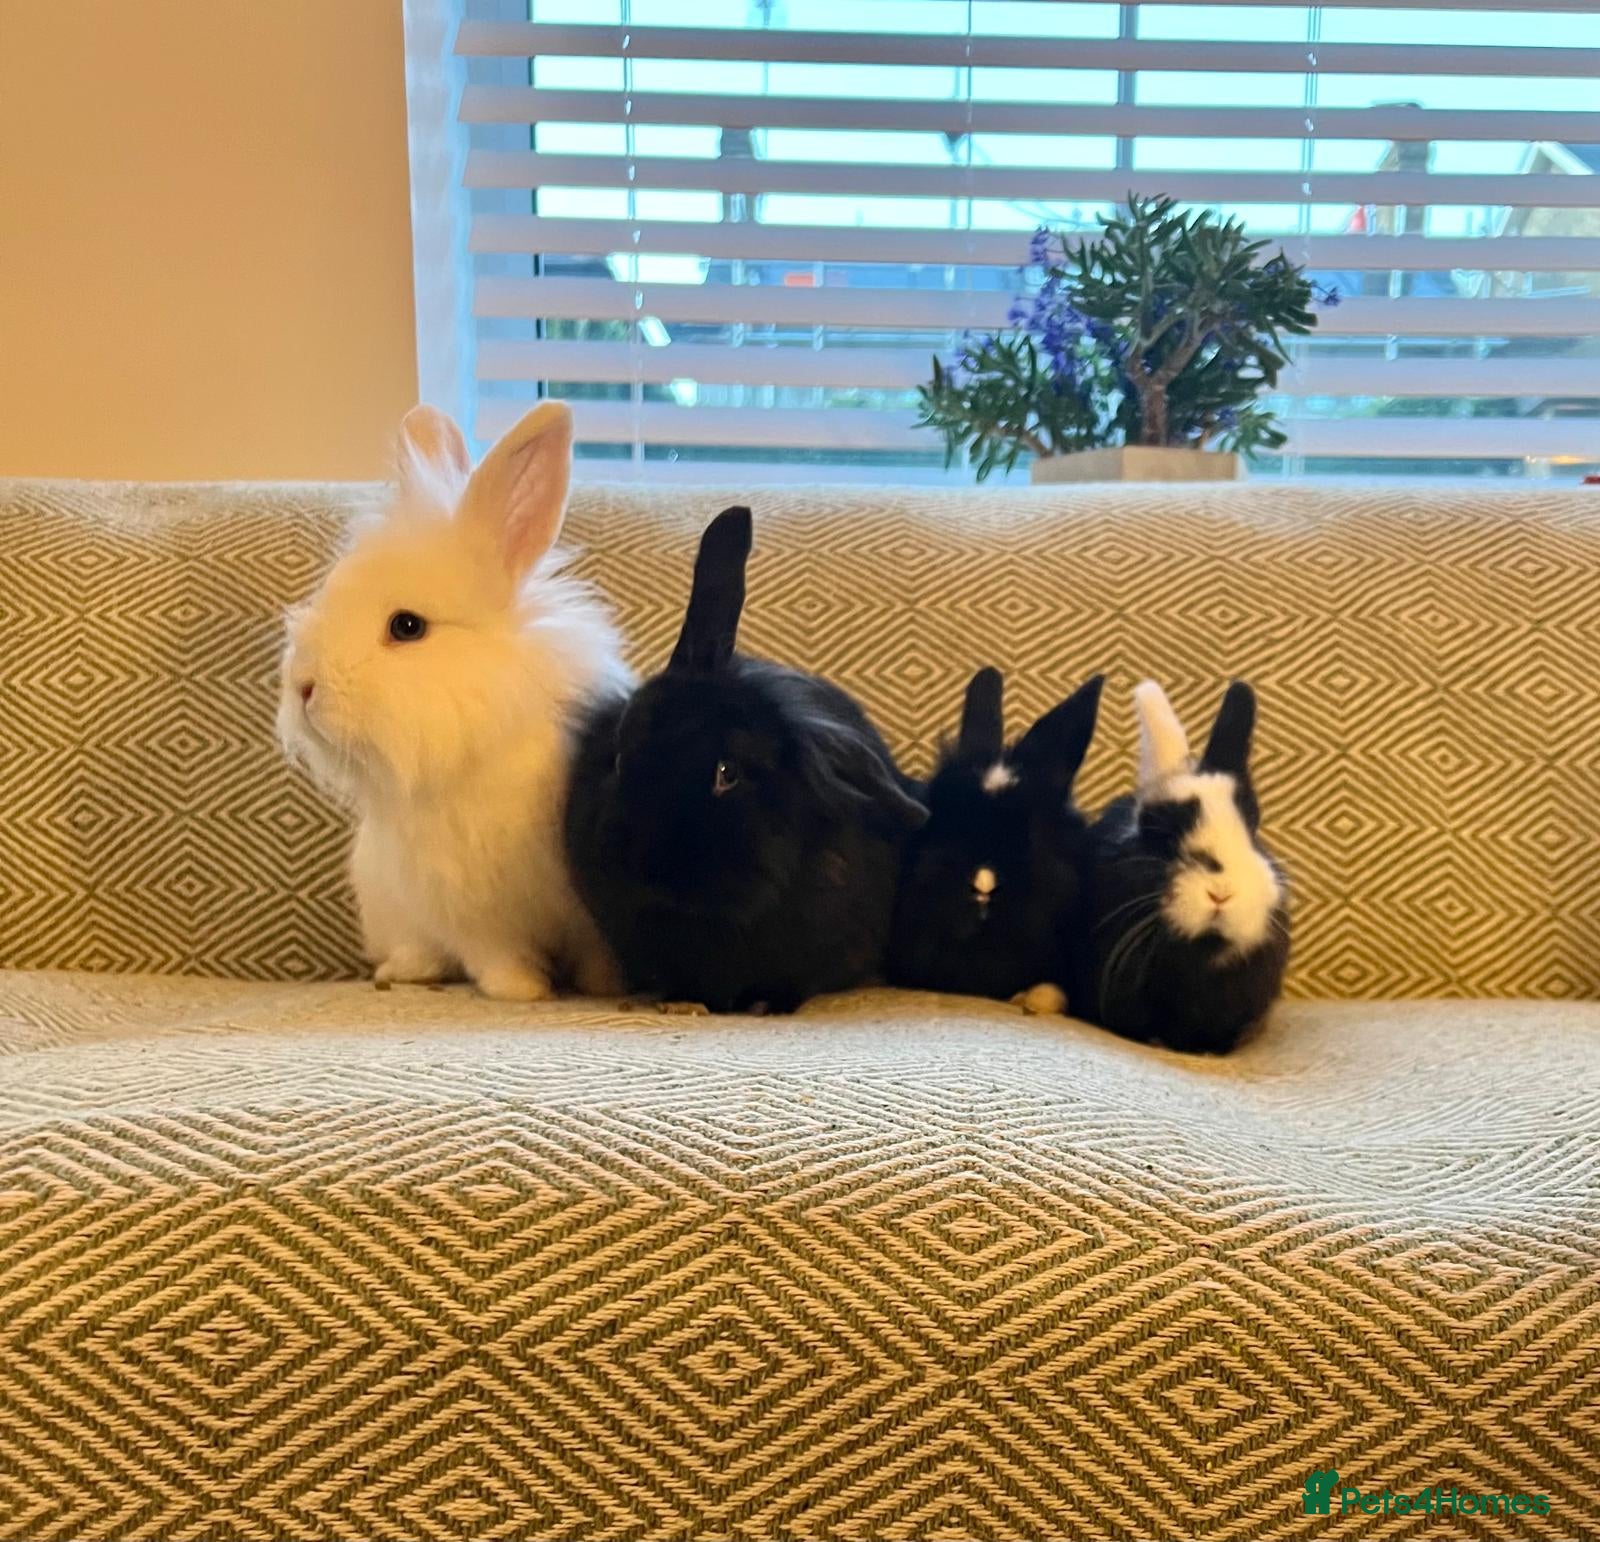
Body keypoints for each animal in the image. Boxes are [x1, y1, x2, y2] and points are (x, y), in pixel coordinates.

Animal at [278, 400, 632, 1002]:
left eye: (407, 626)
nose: (304, 687)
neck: (479, 737)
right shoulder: (467, 908)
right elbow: (497, 953)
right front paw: (523, 990)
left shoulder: (584, 912)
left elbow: (598, 951)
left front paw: (607, 987)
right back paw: (406, 972)